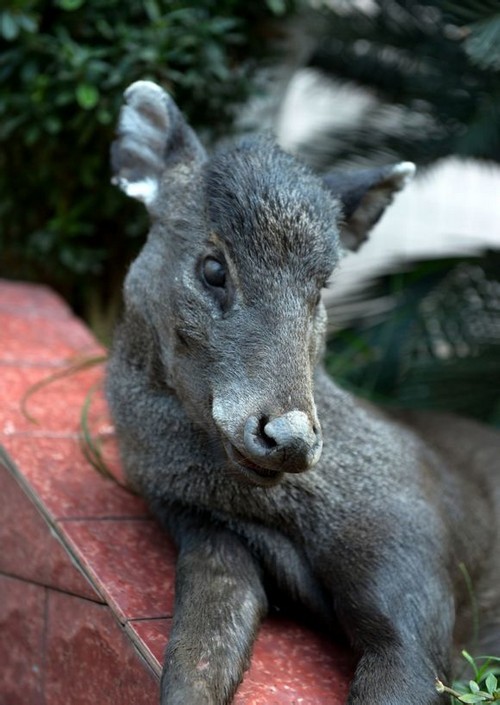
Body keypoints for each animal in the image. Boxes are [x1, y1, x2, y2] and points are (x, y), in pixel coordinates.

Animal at [107, 80, 500, 705]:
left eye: (322, 289)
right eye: (214, 267)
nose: (289, 437)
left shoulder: (415, 568)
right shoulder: (207, 533)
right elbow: (196, 658)